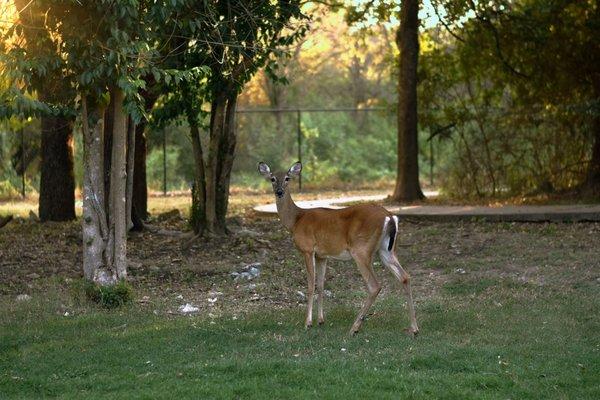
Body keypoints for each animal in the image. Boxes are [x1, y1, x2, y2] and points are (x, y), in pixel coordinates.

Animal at [256, 161, 418, 336]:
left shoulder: (307, 249)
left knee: (375, 285)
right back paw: (414, 328)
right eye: (272, 178)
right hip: (386, 250)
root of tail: (390, 216)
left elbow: (310, 285)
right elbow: (321, 285)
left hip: (361, 250)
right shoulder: (322, 255)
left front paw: (308, 323)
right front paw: (321, 320)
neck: (296, 220)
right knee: (405, 277)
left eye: (287, 178)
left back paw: (354, 328)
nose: (279, 191)